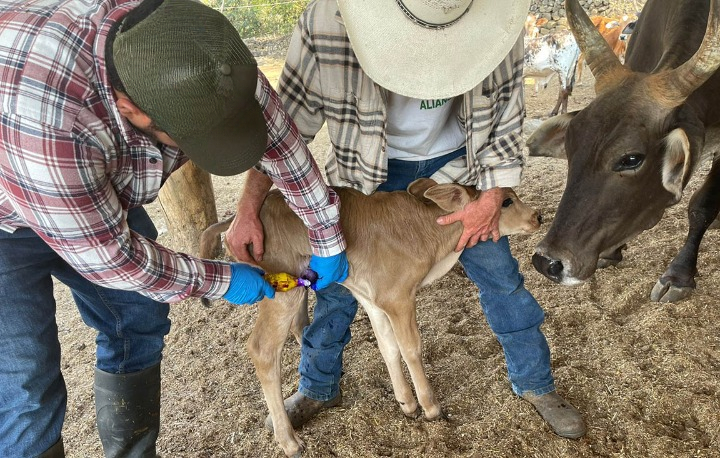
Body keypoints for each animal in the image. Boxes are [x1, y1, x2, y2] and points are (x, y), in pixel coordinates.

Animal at [199, 179, 542, 457]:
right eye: (506, 201)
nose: (537, 217)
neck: (431, 237)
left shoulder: (373, 299)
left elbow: (388, 347)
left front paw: (407, 403)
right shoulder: (398, 296)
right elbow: (411, 348)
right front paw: (430, 407)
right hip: (282, 289)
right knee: (262, 349)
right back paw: (290, 442)